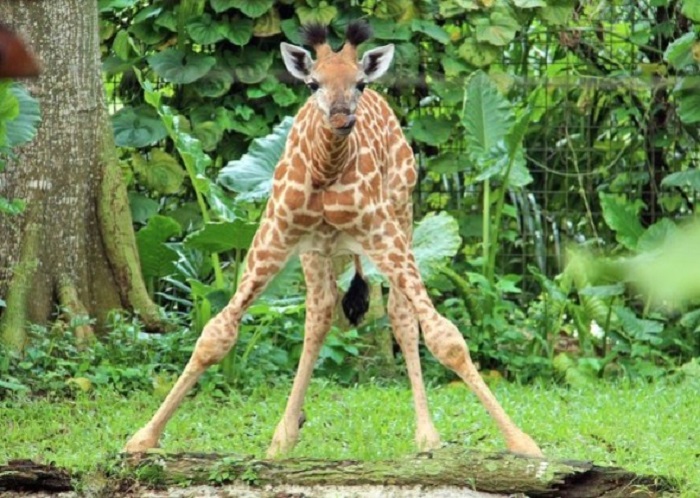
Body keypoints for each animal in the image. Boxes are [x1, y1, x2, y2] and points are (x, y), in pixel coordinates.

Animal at [124, 21, 540, 462]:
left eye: (359, 83)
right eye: (312, 83)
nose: (342, 117)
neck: (325, 171)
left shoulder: (382, 233)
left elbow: (447, 337)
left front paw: (521, 442)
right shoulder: (271, 239)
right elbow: (214, 335)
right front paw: (143, 438)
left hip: (403, 216)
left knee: (400, 314)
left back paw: (426, 436)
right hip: (314, 251)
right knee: (320, 314)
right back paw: (283, 437)